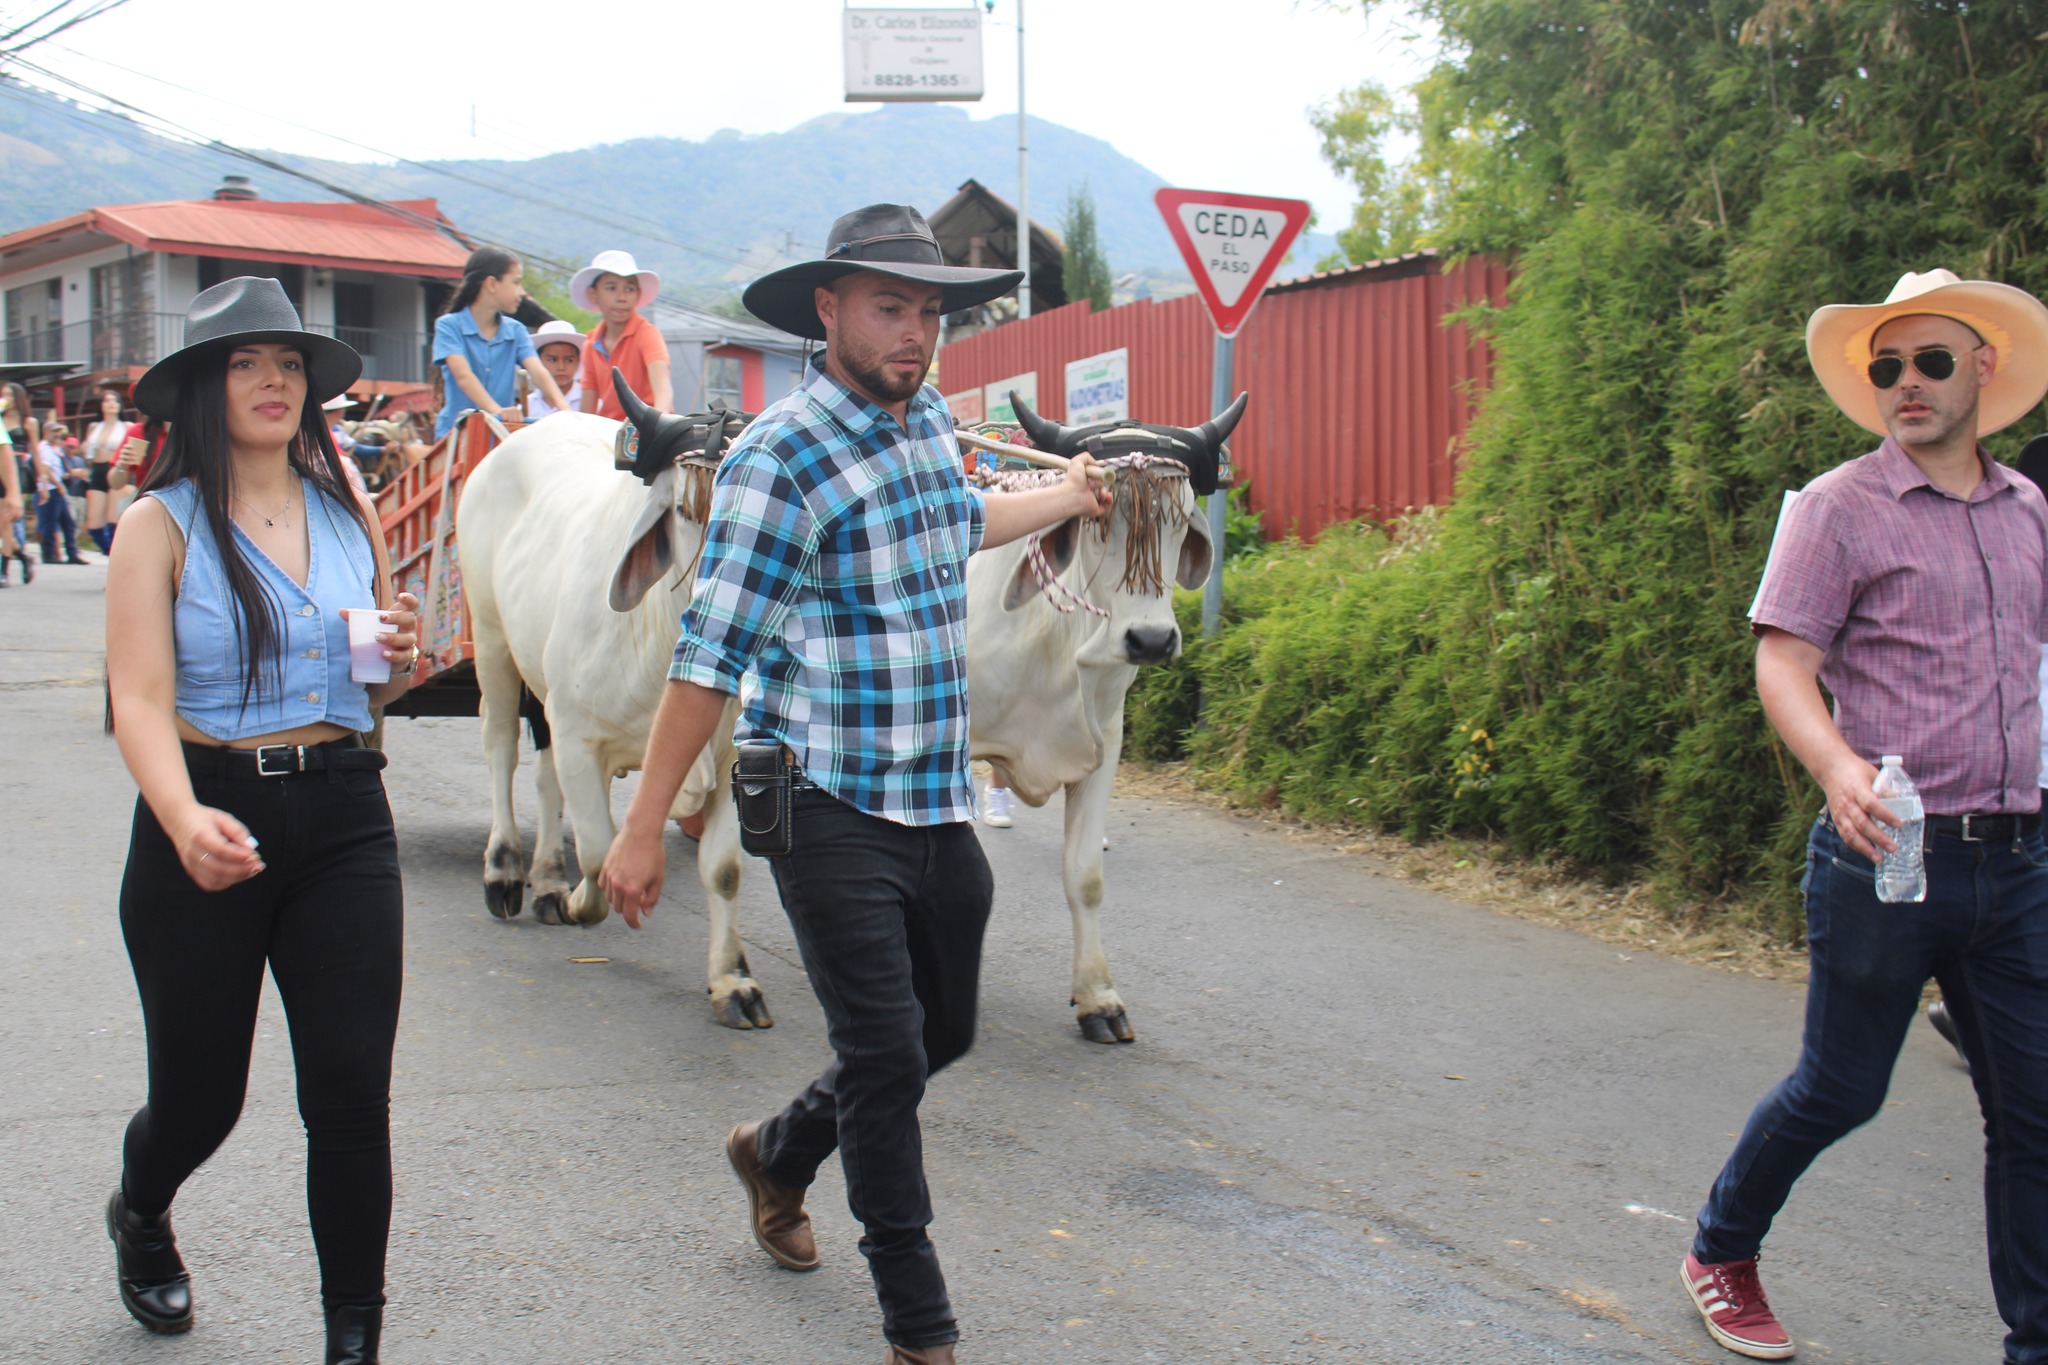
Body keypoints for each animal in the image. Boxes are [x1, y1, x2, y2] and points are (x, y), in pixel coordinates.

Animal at [456, 386, 776, 1028]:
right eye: (688, 509)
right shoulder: (580, 737)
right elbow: (602, 851)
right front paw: (583, 902)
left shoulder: (731, 761)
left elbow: (723, 869)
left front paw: (732, 981)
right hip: (492, 637)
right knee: (500, 748)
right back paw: (506, 869)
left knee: (544, 778)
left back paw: (547, 878)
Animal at [961, 393, 1246, 1043]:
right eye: (1099, 516)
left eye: (1181, 518)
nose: (1151, 640)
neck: (1057, 639)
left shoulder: (1104, 743)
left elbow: (1084, 876)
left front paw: (1098, 998)